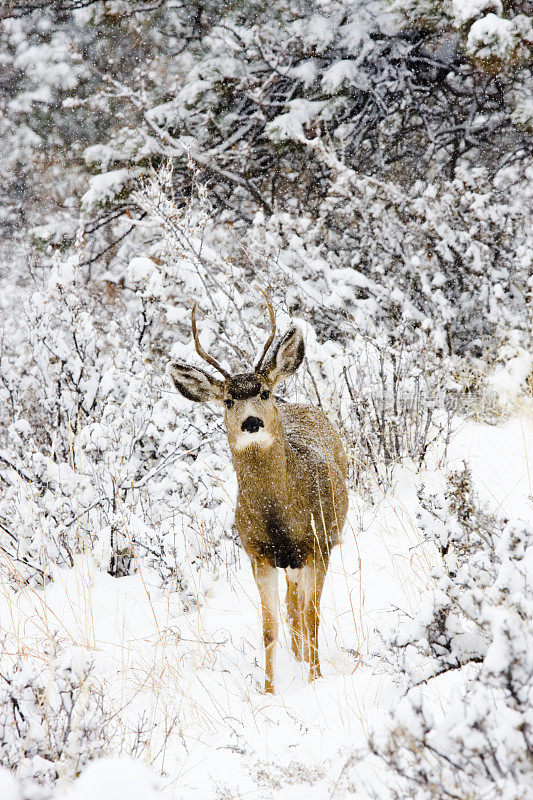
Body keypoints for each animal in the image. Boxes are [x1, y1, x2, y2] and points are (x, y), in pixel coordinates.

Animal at [167, 300, 350, 692]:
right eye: (228, 400)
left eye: (264, 393)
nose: (252, 422)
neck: (281, 516)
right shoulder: (258, 553)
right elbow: (268, 626)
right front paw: (268, 690)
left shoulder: (320, 543)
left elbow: (312, 615)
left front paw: (316, 679)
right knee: (290, 604)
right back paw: (297, 655)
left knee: (300, 607)